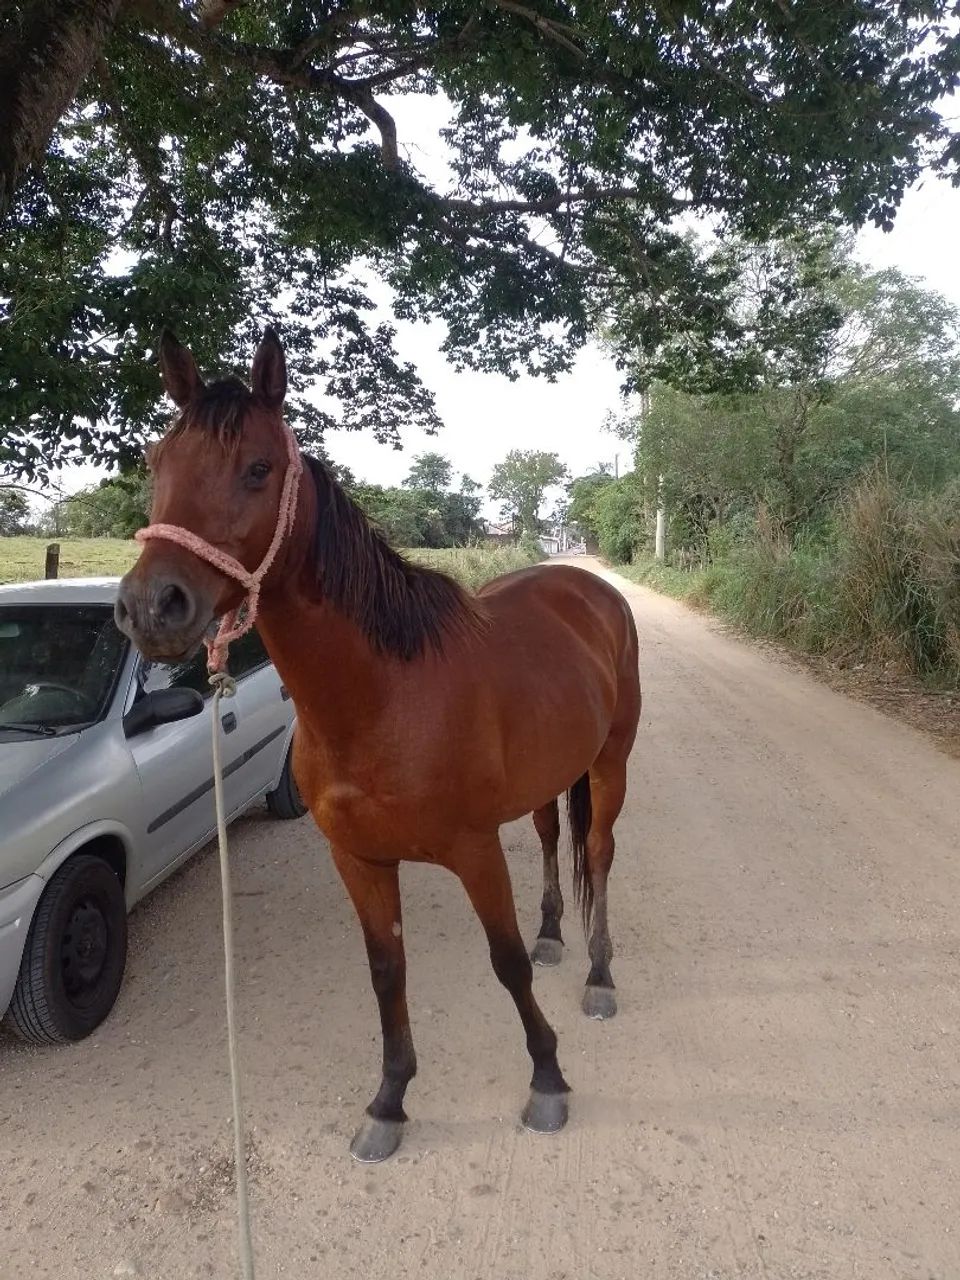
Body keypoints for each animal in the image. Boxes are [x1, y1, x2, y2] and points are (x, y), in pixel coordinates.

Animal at [116, 329, 642, 1163]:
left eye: (257, 468)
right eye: (156, 462)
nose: (150, 607)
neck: (384, 698)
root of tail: (587, 587)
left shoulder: (474, 852)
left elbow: (505, 963)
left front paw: (548, 1079)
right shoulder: (358, 860)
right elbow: (387, 972)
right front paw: (390, 1101)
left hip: (610, 764)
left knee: (597, 853)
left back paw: (598, 975)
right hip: (548, 780)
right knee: (553, 840)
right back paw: (557, 933)